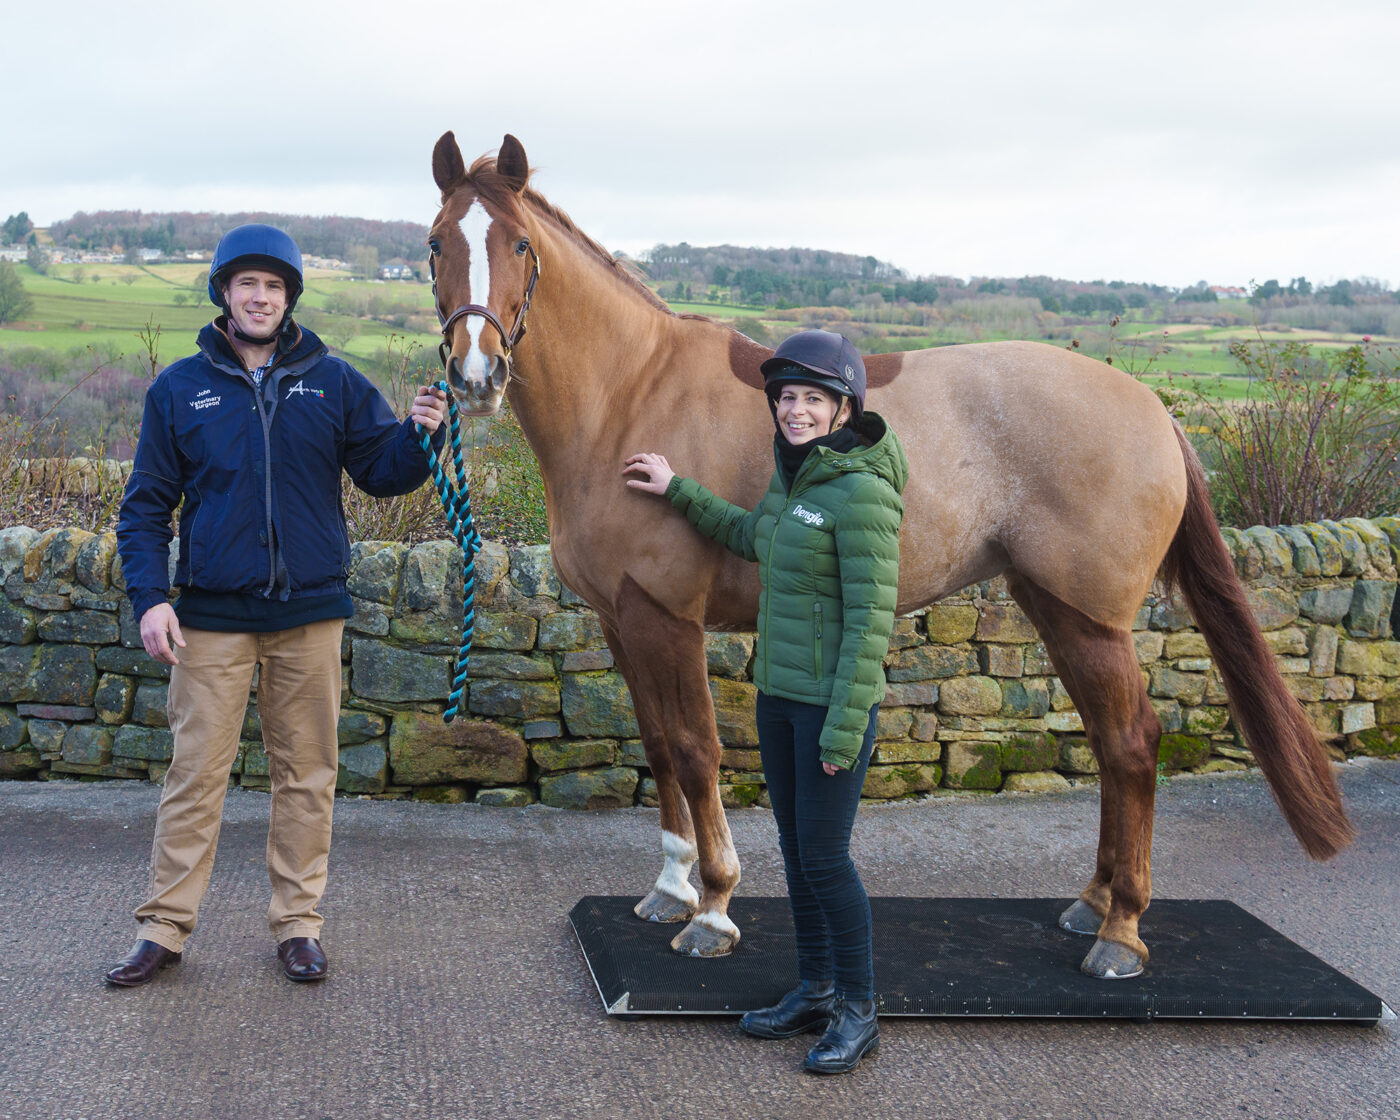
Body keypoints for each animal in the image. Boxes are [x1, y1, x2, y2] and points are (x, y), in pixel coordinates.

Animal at [428, 133, 1355, 980]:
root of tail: (1156, 412)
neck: (631, 393)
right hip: (1058, 610)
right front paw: (670, 888)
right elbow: (657, 746)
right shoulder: (623, 622)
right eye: (437, 242)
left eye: (520, 245)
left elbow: (694, 752)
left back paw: (1120, 932)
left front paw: (715, 908)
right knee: (1108, 741)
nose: (476, 376)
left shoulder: (666, 618)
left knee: (1131, 743)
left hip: (1091, 620)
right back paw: (1091, 904)